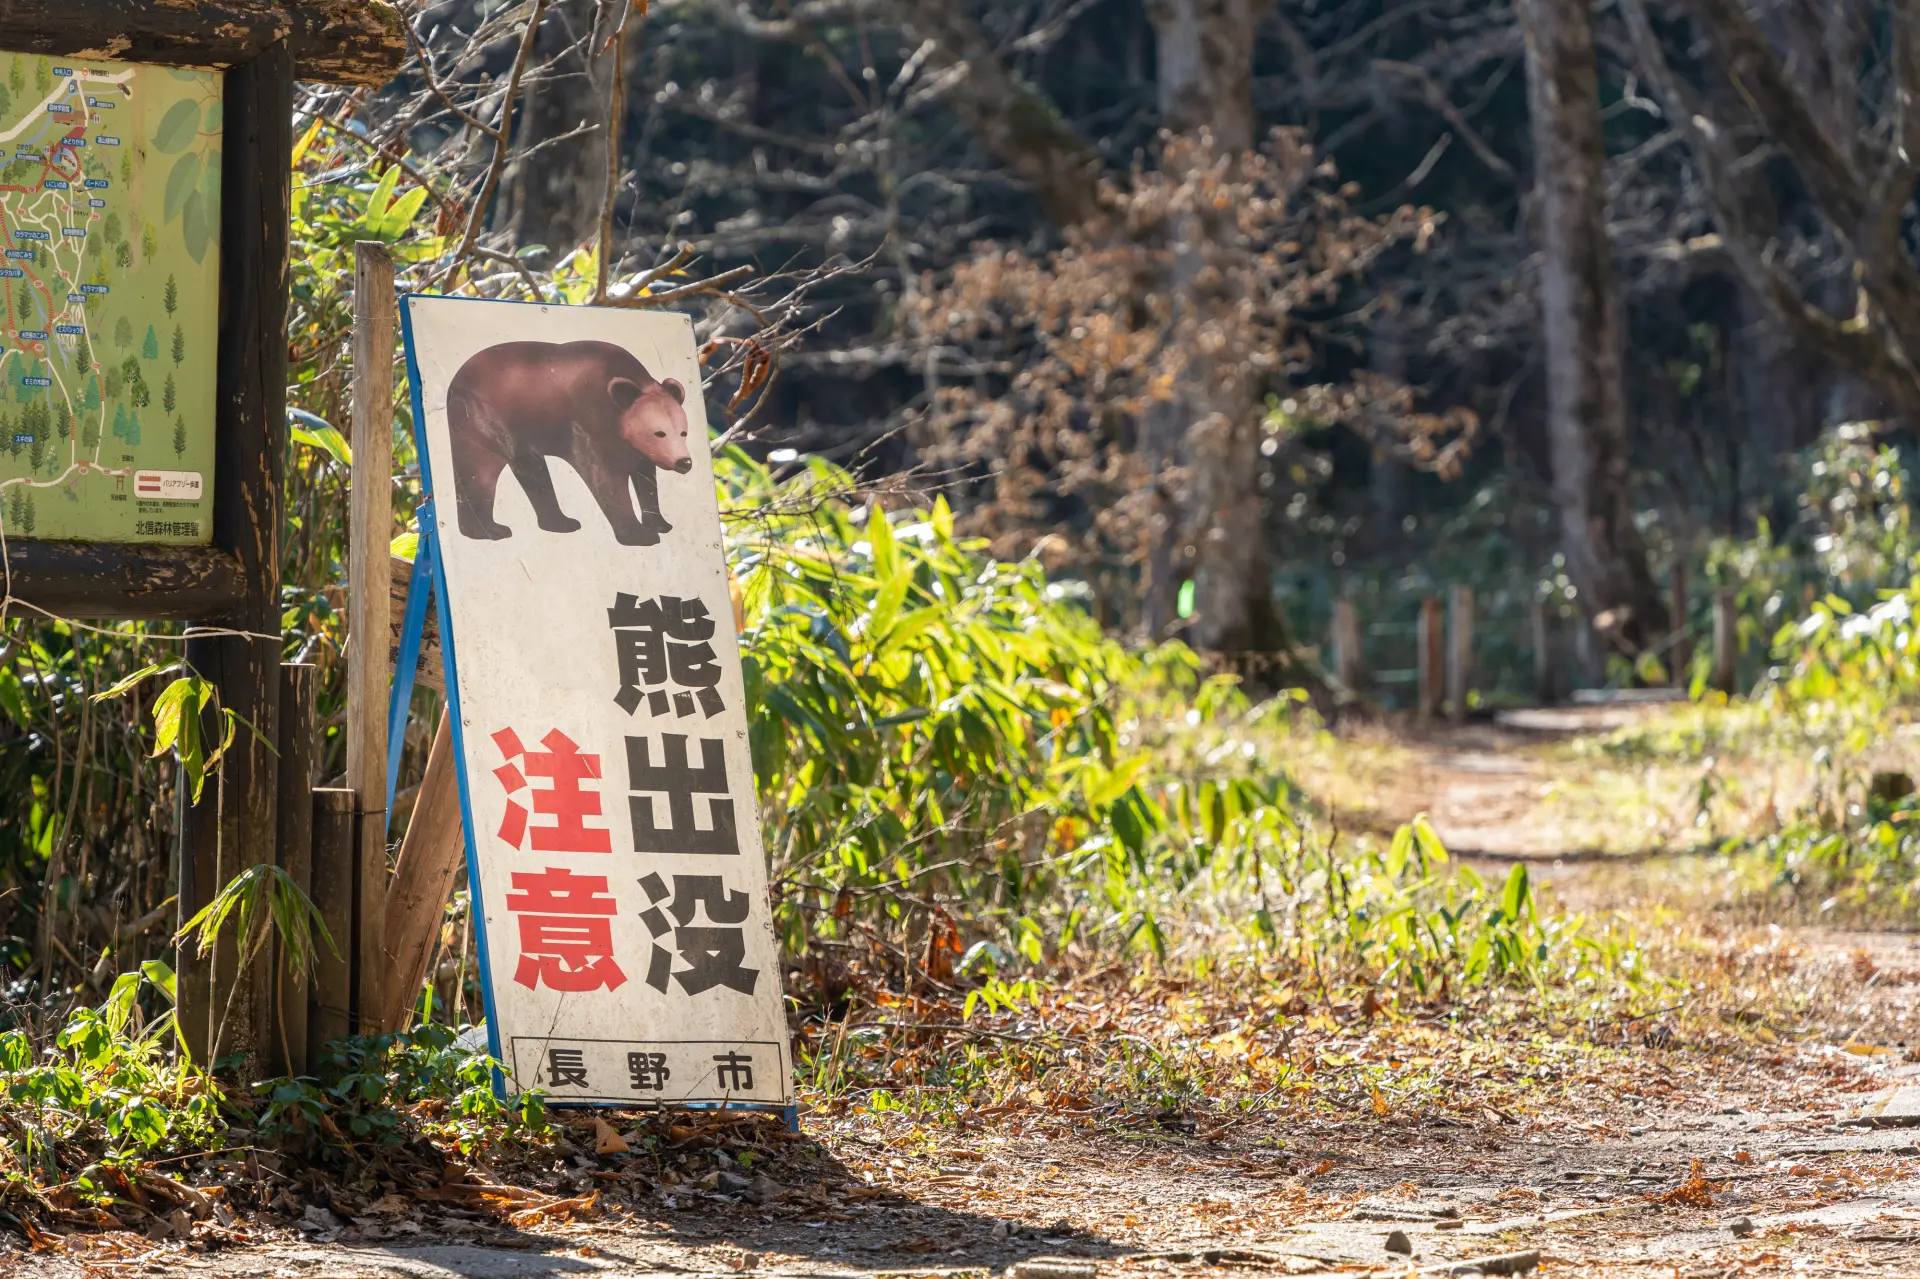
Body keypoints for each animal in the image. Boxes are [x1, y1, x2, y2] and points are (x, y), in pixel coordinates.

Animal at [444, 339, 692, 545]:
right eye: (659, 433)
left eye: (683, 432)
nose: (684, 462)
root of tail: (454, 382)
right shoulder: (590, 420)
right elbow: (606, 478)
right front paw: (638, 533)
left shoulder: (636, 448)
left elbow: (646, 479)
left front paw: (660, 523)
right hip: (483, 418)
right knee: (480, 472)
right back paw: (487, 529)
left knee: (532, 471)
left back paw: (559, 522)